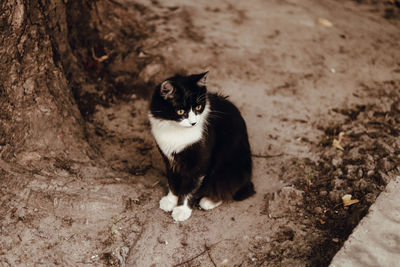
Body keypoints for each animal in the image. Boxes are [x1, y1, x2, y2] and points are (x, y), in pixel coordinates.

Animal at [148, 71, 255, 222]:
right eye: (180, 111)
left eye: (198, 107)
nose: (193, 123)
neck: (176, 130)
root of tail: (248, 182)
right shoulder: (169, 159)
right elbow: (173, 181)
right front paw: (170, 200)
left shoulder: (199, 162)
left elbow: (189, 187)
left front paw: (182, 210)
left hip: (227, 169)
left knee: (225, 187)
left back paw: (208, 201)